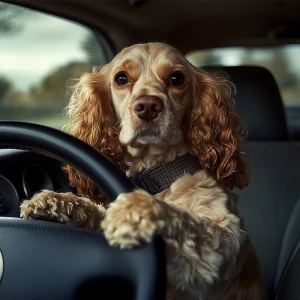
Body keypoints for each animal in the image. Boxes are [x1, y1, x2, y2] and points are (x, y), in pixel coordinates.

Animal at [19, 42, 266, 300]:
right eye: (121, 79)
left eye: (177, 78)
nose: (148, 106)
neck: (156, 173)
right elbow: (96, 211)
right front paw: (54, 201)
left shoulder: (221, 247)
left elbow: (187, 221)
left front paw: (136, 208)